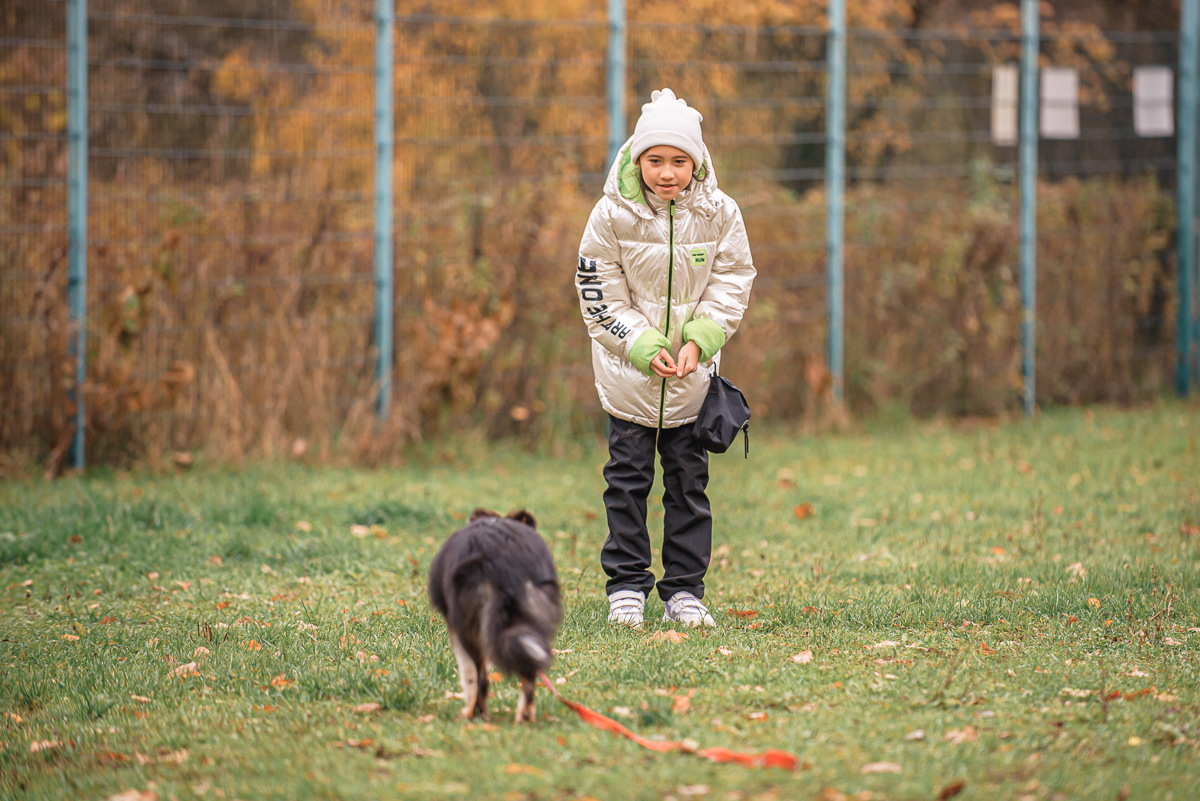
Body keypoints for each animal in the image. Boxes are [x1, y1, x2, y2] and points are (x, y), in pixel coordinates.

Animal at [432, 513, 561, 724]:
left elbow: (468, 675)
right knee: (529, 675)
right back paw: (525, 716)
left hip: (470, 627)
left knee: (481, 678)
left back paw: (476, 714)